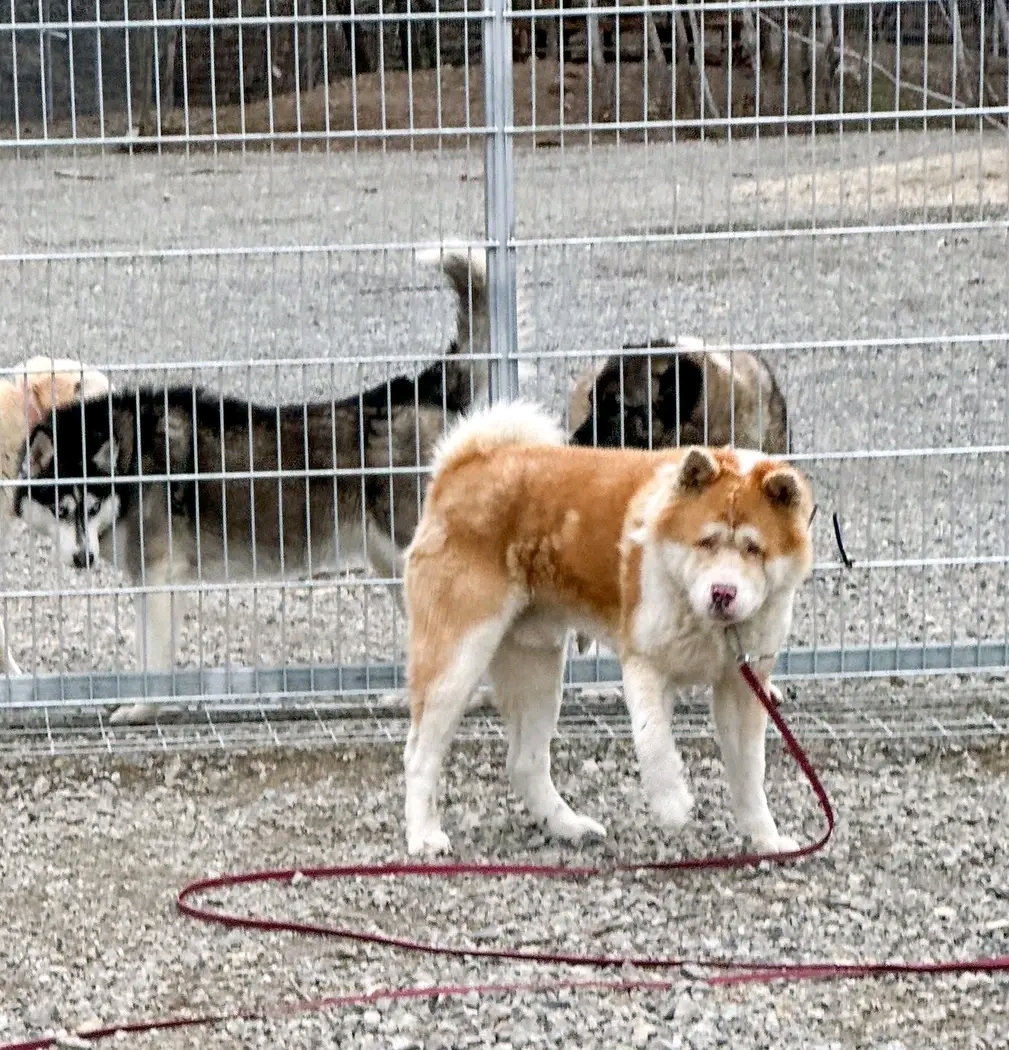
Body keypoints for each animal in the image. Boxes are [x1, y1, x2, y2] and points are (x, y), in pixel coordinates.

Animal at [14, 247, 490, 723]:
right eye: (61, 510)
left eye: (92, 508)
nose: (84, 559)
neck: (133, 460)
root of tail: (421, 391)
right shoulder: (149, 581)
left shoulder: (160, 577)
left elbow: (154, 660)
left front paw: (143, 708)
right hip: (390, 563)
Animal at [402, 400, 814, 856]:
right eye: (706, 542)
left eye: (754, 549)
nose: (722, 593)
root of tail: (463, 465)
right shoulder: (644, 665)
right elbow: (654, 742)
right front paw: (672, 805)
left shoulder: (743, 687)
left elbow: (749, 776)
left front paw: (766, 839)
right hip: (457, 662)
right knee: (419, 755)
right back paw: (424, 836)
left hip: (536, 665)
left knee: (525, 762)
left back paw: (567, 826)